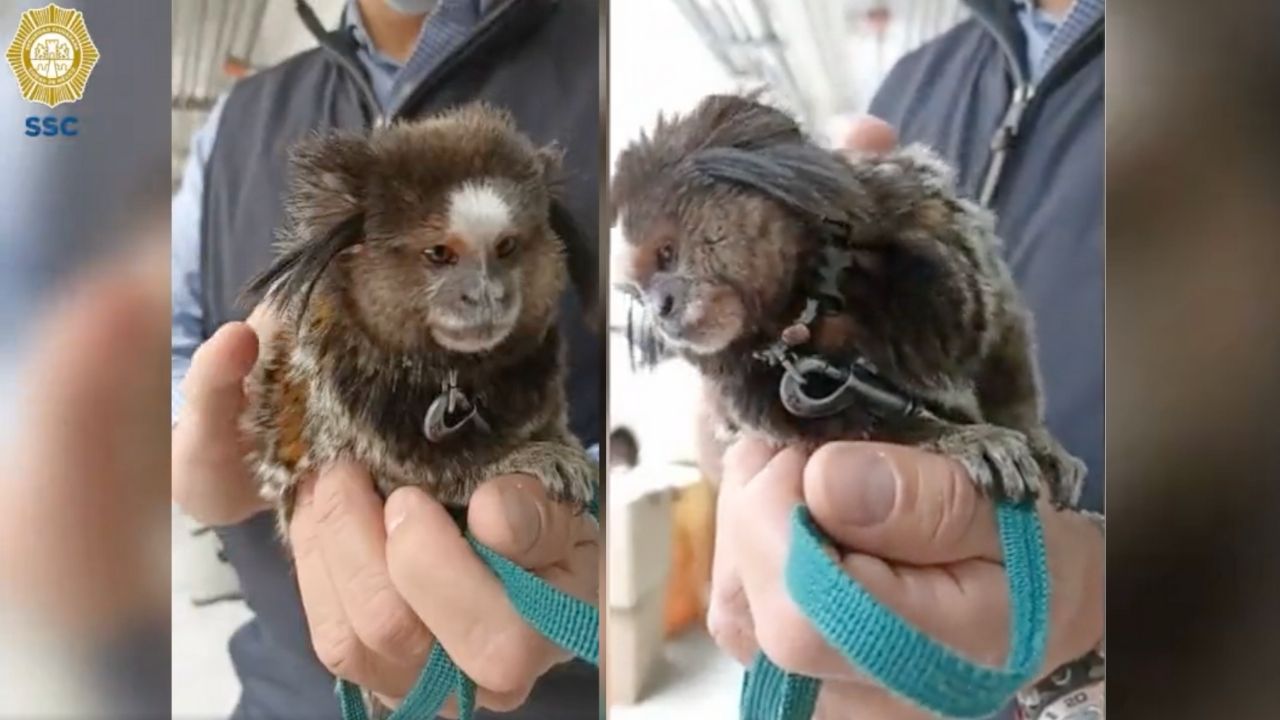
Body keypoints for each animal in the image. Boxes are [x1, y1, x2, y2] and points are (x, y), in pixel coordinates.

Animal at [239, 102, 597, 535]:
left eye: (506, 247)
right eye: (440, 254)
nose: (485, 295)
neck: (454, 373)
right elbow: (423, 483)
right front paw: (526, 459)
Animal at [611, 94, 1083, 507]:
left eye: (666, 254)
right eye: (639, 294)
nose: (661, 310)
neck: (806, 313)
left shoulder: (930, 222)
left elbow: (1000, 333)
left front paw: (1037, 437)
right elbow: (859, 430)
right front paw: (962, 439)